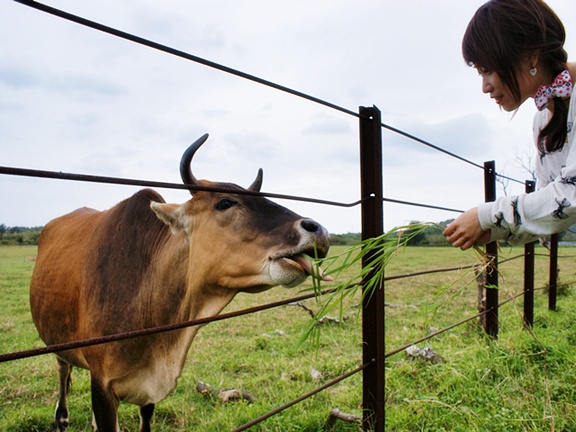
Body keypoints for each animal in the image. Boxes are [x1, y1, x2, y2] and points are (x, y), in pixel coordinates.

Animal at [30, 133, 328, 430]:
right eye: (225, 202)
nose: (319, 231)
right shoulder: (101, 384)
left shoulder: (148, 391)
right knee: (62, 366)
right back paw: (61, 416)